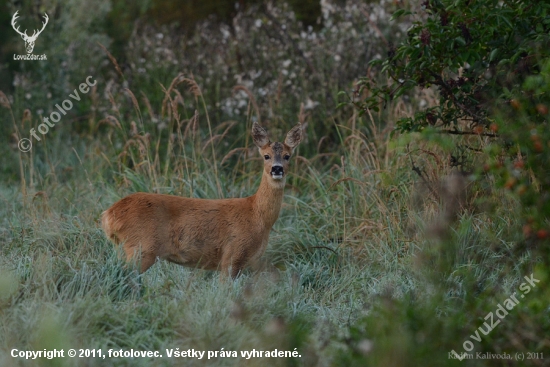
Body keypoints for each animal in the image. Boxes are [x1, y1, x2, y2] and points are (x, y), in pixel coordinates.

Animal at [101, 122, 304, 278]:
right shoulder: (232, 255)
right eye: (266, 156)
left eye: (287, 156)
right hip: (141, 247)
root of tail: (109, 215)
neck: (257, 215)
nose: (277, 169)